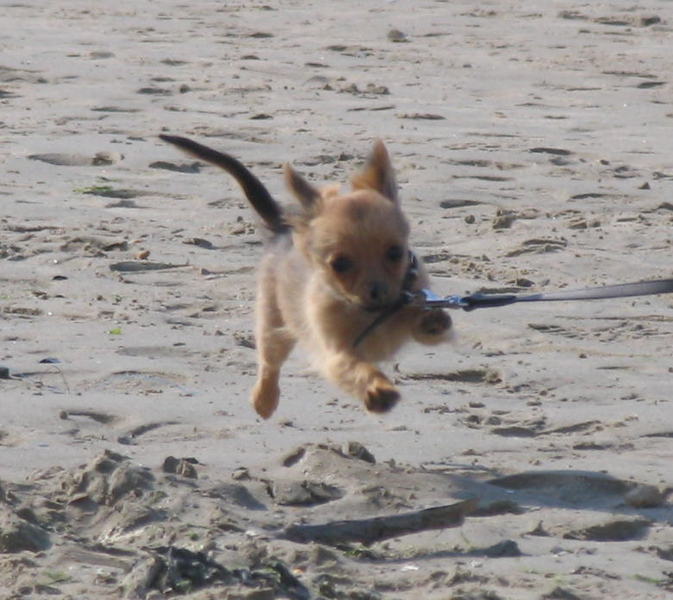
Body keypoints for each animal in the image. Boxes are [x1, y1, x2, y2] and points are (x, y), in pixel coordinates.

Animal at [159, 135, 448, 418]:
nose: (378, 292)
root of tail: (283, 229)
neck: (369, 313)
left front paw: (431, 320)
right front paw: (378, 391)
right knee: (269, 363)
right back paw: (264, 400)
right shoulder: (335, 353)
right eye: (340, 264)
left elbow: (423, 323)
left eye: (395, 253)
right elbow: (357, 369)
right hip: (273, 322)